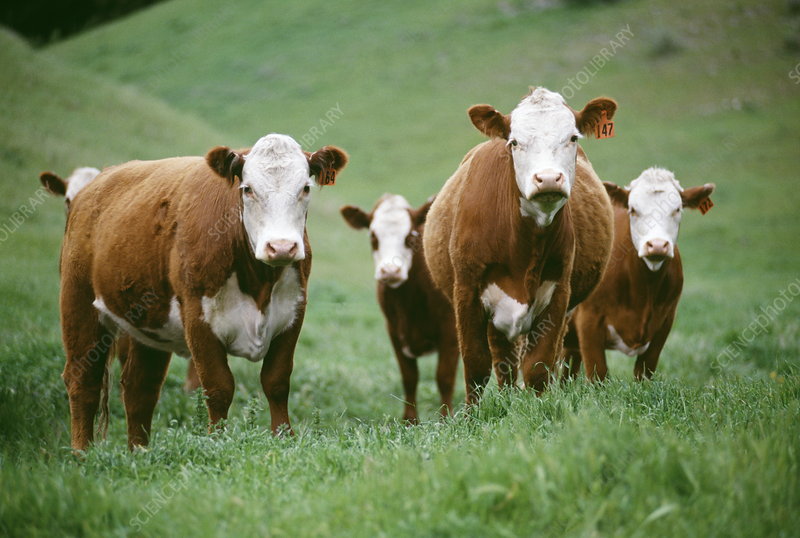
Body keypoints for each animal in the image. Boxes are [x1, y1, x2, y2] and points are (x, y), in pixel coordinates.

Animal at [340, 195, 460, 420]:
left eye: (410, 237)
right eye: (373, 236)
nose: (390, 270)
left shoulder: (450, 331)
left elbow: (444, 377)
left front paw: (446, 418)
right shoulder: (394, 331)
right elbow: (409, 377)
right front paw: (410, 421)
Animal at [424, 86, 620, 400]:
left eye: (573, 137)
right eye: (515, 141)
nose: (548, 178)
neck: (524, 243)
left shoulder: (559, 294)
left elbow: (538, 366)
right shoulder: (466, 291)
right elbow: (476, 364)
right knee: (502, 361)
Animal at [564, 168, 720, 382]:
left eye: (677, 209)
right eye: (633, 209)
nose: (657, 245)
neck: (643, 290)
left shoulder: (665, 322)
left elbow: (644, 372)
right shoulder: (589, 321)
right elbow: (598, 374)